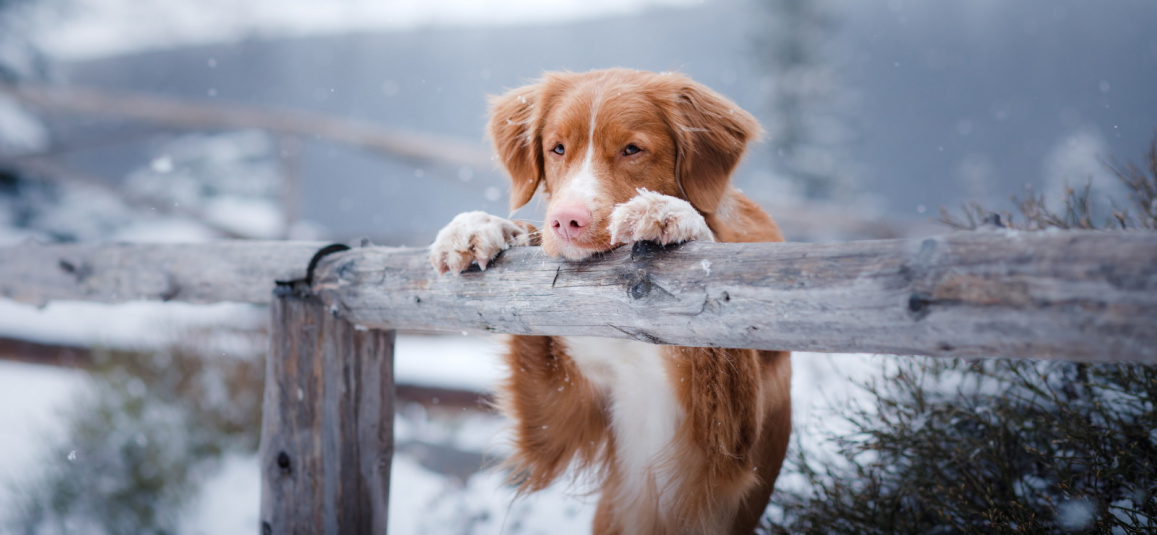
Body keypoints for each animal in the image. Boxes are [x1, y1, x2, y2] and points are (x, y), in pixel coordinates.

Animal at [430, 68, 791, 532]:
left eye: (632, 149)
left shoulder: (720, 453)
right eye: (557, 148)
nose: (566, 220)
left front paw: (672, 213)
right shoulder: (560, 412)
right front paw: (481, 226)